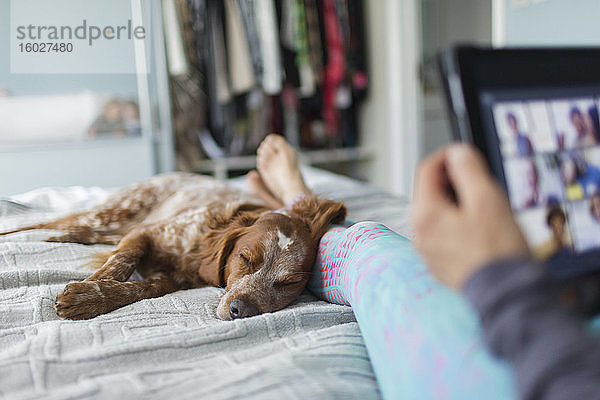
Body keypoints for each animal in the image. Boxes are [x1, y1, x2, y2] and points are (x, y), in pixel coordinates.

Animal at [2, 173, 346, 320]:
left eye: (288, 284)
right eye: (245, 258)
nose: (241, 310)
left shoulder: (174, 279)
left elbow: (144, 288)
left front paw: (92, 297)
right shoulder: (146, 233)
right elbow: (123, 261)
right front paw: (91, 287)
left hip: (106, 227)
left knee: (73, 231)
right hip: (111, 215)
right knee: (41, 223)